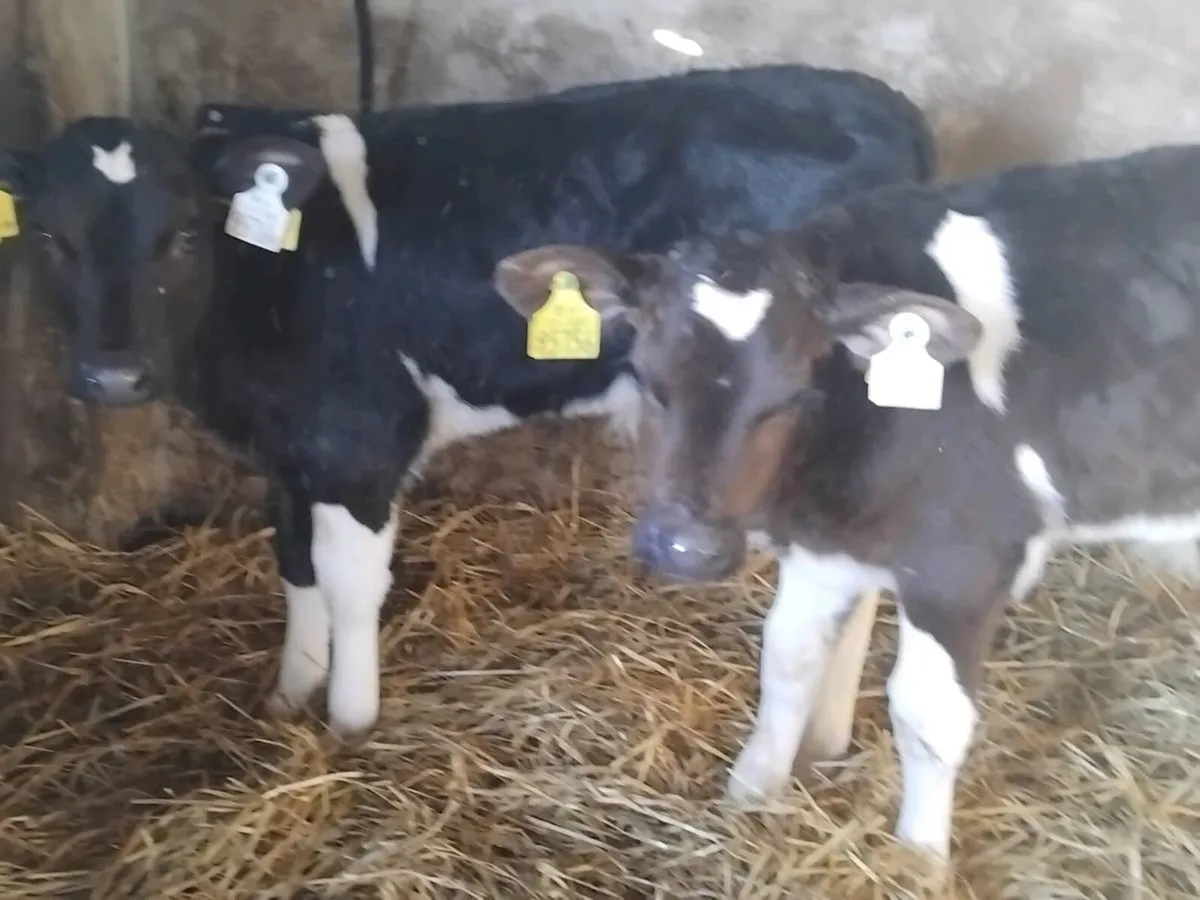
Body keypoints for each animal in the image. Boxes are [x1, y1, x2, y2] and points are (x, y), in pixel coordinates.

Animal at [0, 63, 935, 738]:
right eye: (48, 235)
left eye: (186, 234)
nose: (115, 376)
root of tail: (881, 99)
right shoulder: (293, 447)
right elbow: (295, 566)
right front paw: (289, 696)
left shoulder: (364, 441)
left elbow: (350, 587)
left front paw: (350, 726)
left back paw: (821, 738)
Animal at [491, 142, 1200, 860]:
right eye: (645, 375)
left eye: (794, 391)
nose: (688, 548)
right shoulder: (822, 551)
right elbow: (788, 661)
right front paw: (749, 797)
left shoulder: (964, 566)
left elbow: (927, 717)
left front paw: (918, 859)